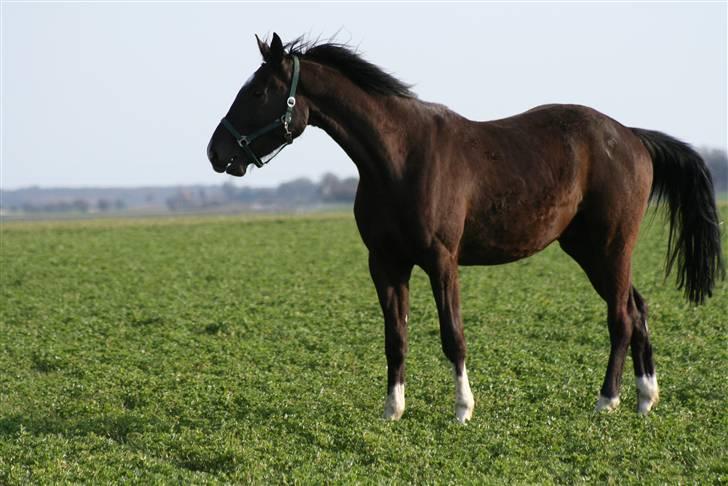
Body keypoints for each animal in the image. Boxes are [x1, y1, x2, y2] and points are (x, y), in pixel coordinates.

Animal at [205, 33, 724, 422]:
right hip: (589, 249)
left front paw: (462, 408)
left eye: (256, 92)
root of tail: (632, 137)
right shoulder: (386, 263)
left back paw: (608, 400)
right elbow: (396, 337)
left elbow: (452, 335)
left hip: (610, 247)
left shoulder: (441, 261)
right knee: (637, 308)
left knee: (620, 317)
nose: (215, 151)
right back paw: (645, 397)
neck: (399, 157)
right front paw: (393, 410)